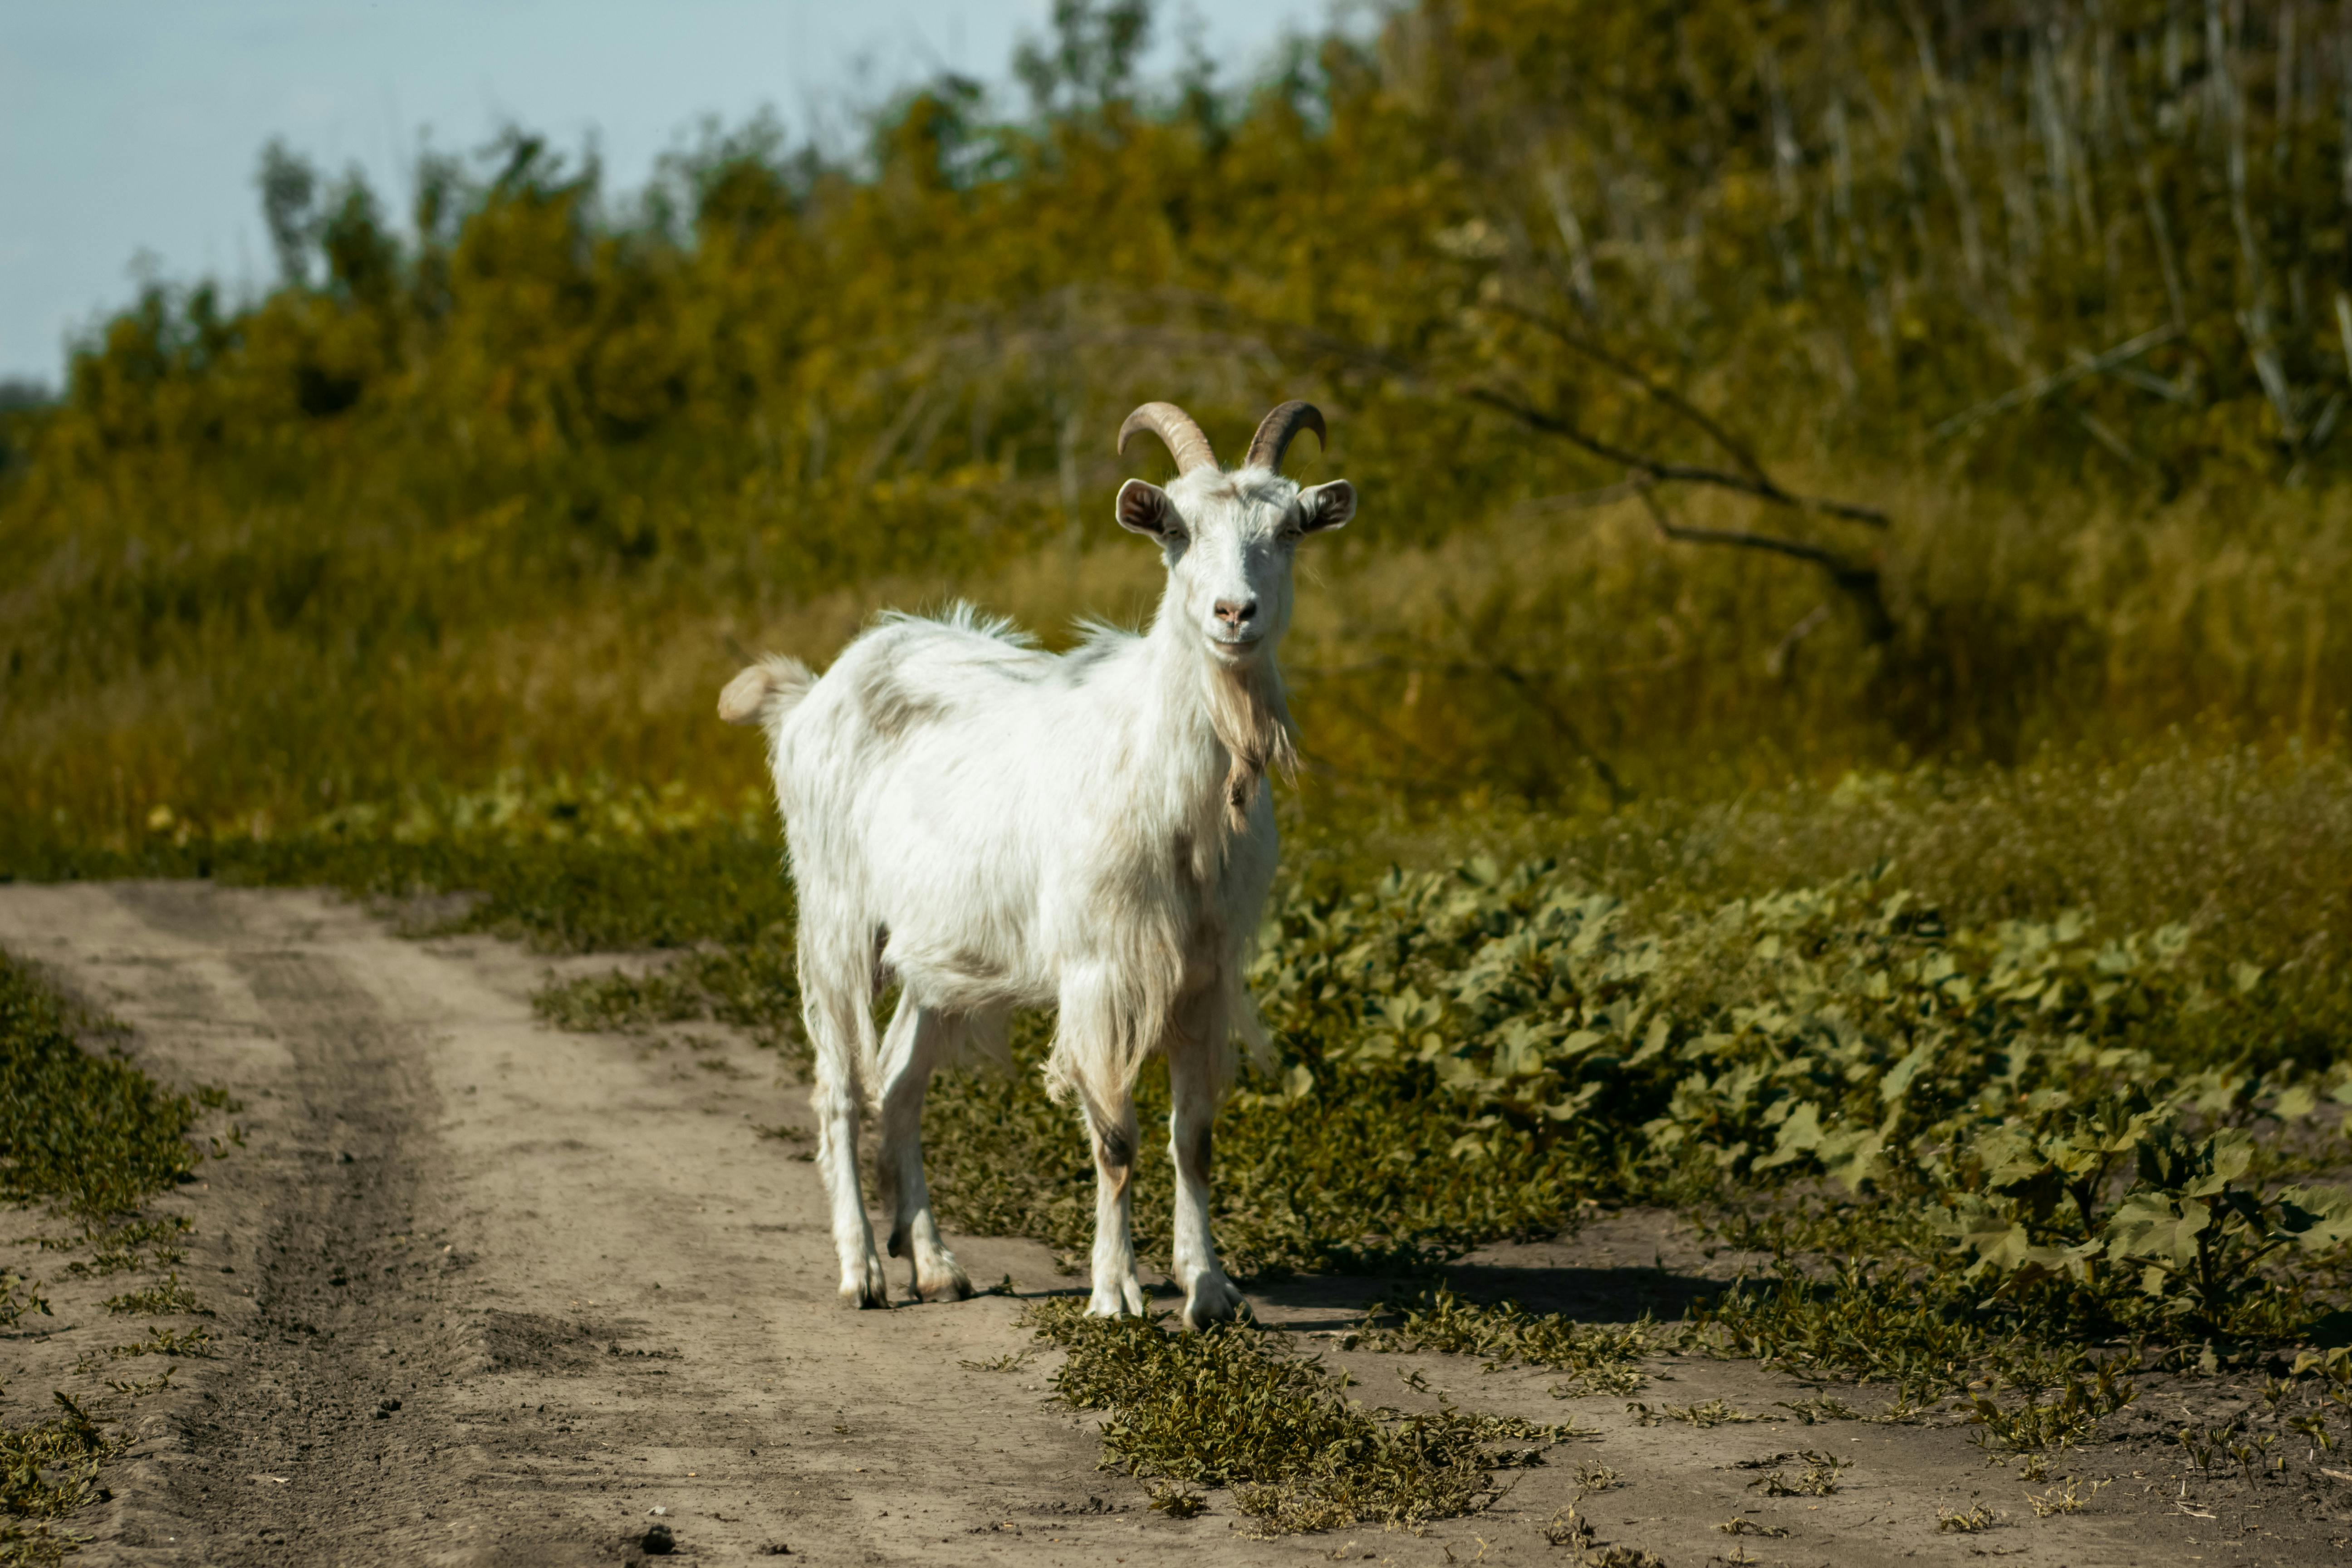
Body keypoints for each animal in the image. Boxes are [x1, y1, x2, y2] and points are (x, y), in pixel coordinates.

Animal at [718, 401, 1353, 1329]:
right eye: (1178, 530)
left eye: (1287, 530)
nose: (1234, 614)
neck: (1176, 791)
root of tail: (810, 695)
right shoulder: (1099, 969)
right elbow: (1116, 1136)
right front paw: (1116, 1295)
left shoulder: (1204, 970)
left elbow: (1194, 1138)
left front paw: (1208, 1290)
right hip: (834, 916)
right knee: (839, 1085)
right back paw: (863, 1272)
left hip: (936, 951)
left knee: (899, 1084)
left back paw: (936, 1265)